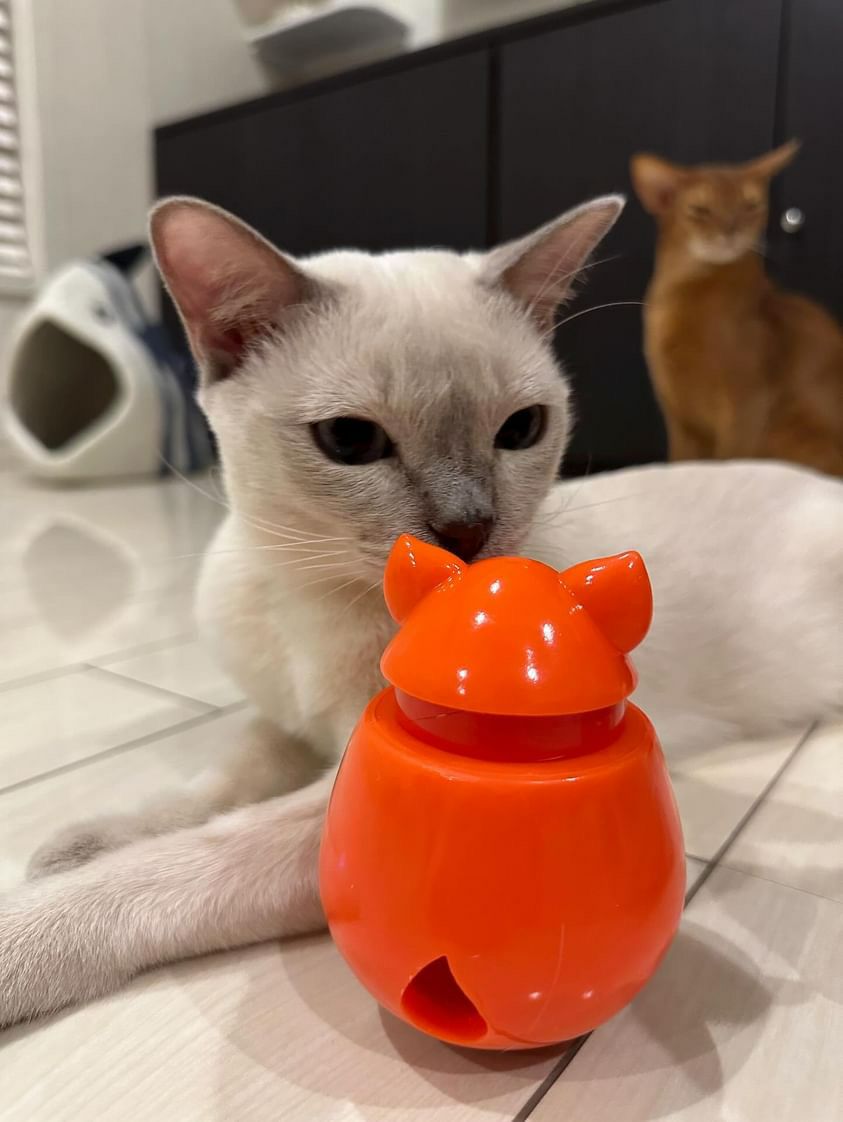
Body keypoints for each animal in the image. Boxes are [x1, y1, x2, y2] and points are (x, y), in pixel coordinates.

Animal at [0, 195, 841, 1026]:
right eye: (349, 440)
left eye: (521, 430)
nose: (468, 531)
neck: (312, 600)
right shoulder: (283, 725)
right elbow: (206, 793)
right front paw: (78, 843)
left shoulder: (346, 799)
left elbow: (185, 857)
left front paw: (30, 923)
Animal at [631, 141, 843, 476]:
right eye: (700, 209)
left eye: (750, 206)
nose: (731, 230)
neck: (684, 289)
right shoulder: (679, 416)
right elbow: (680, 463)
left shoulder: (748, 403)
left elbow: (730, 460)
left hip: (789, 433)